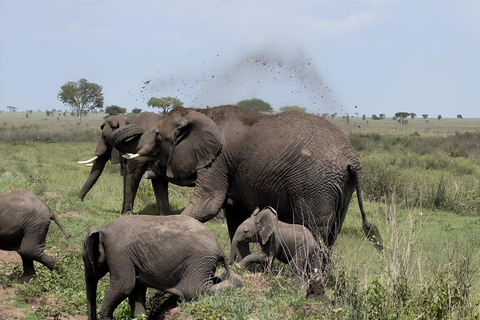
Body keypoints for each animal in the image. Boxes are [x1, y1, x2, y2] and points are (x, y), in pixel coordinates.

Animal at [81, 214, 244, 320]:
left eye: (84, 258)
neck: (103, 229)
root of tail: (218, 246)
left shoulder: (119, 254)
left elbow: (125, 286)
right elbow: (136, 289)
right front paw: (141, 317)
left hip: (198, 260)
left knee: (194, 289)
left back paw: (237, 282)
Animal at [115, 105, 382, 260]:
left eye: (158, 135)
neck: (199, 111)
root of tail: (352, 159)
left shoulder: (217, 161)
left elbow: (207, 205)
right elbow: (234, 215)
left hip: (315, 184)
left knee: (314, 229)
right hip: (340, 187)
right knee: (332, 233)